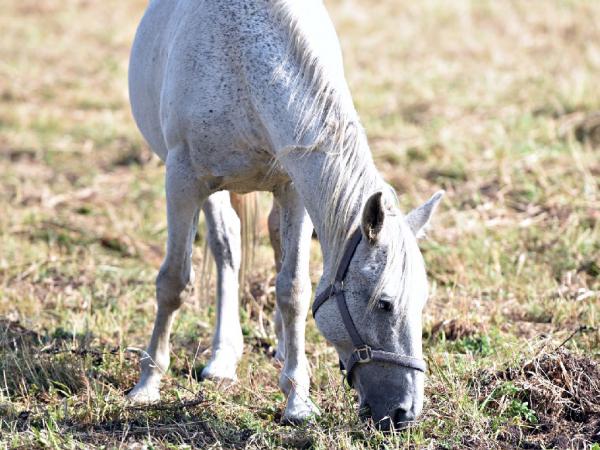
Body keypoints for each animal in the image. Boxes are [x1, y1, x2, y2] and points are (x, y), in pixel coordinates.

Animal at [127, 0, 440, 428]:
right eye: (384, 304)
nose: (405, 412)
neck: (241, 59)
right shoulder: (183, 180)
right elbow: (173, 282)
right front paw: (147, 384)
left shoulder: (294, 187)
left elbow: (293, 290)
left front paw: (297, 398)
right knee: (226, 247)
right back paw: (222, 358)